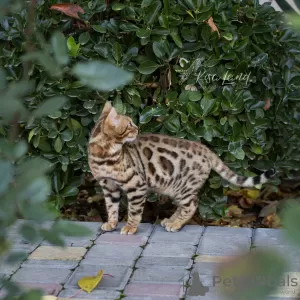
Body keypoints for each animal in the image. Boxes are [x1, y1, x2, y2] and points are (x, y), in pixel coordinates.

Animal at [88, 102, 276, 236]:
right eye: (129, 125)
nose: (137, 128)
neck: (104, 156)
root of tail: (204, 148)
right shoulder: (108, 186)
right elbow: (111, 207)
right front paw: (111, 223)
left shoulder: (137, 186)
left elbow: (134, 211)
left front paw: (130, 227)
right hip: (175, 188)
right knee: (183, 206)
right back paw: (171, 221)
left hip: (183, 187)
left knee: (191, 205)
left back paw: (176, 224)